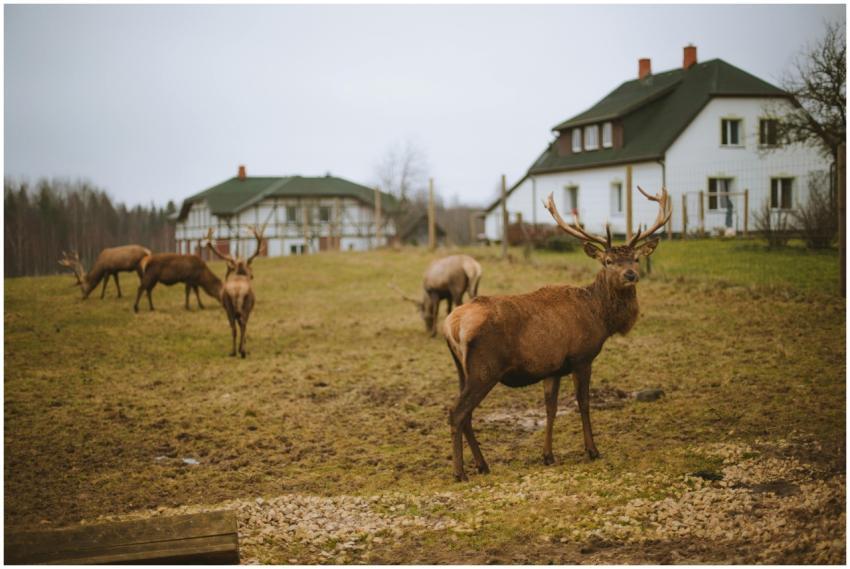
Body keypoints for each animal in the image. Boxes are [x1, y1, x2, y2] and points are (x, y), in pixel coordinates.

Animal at [203, 225, 264, 358]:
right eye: (249, 266)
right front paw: (244, 346)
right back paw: (243, 351)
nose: (252, 275)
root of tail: (237, 290)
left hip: (228, 307)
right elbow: (244, 326)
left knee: (233, 328)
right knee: (243, 324)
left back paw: (233, 351)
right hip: (246, 306)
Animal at [442, 187, 670, 481]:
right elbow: (583, 402)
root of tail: (452, 324)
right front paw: (592, 450)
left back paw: (483, 465)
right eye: (608, 261)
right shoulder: (582, 357)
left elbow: (550, 408)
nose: (631, 275)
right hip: (485, 368)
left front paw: (548, 455)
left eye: (636, 258)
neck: (600, 317)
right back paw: (460, 472)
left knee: (466, 414)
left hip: (463, 369)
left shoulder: (552, 368)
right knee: (457, 412)